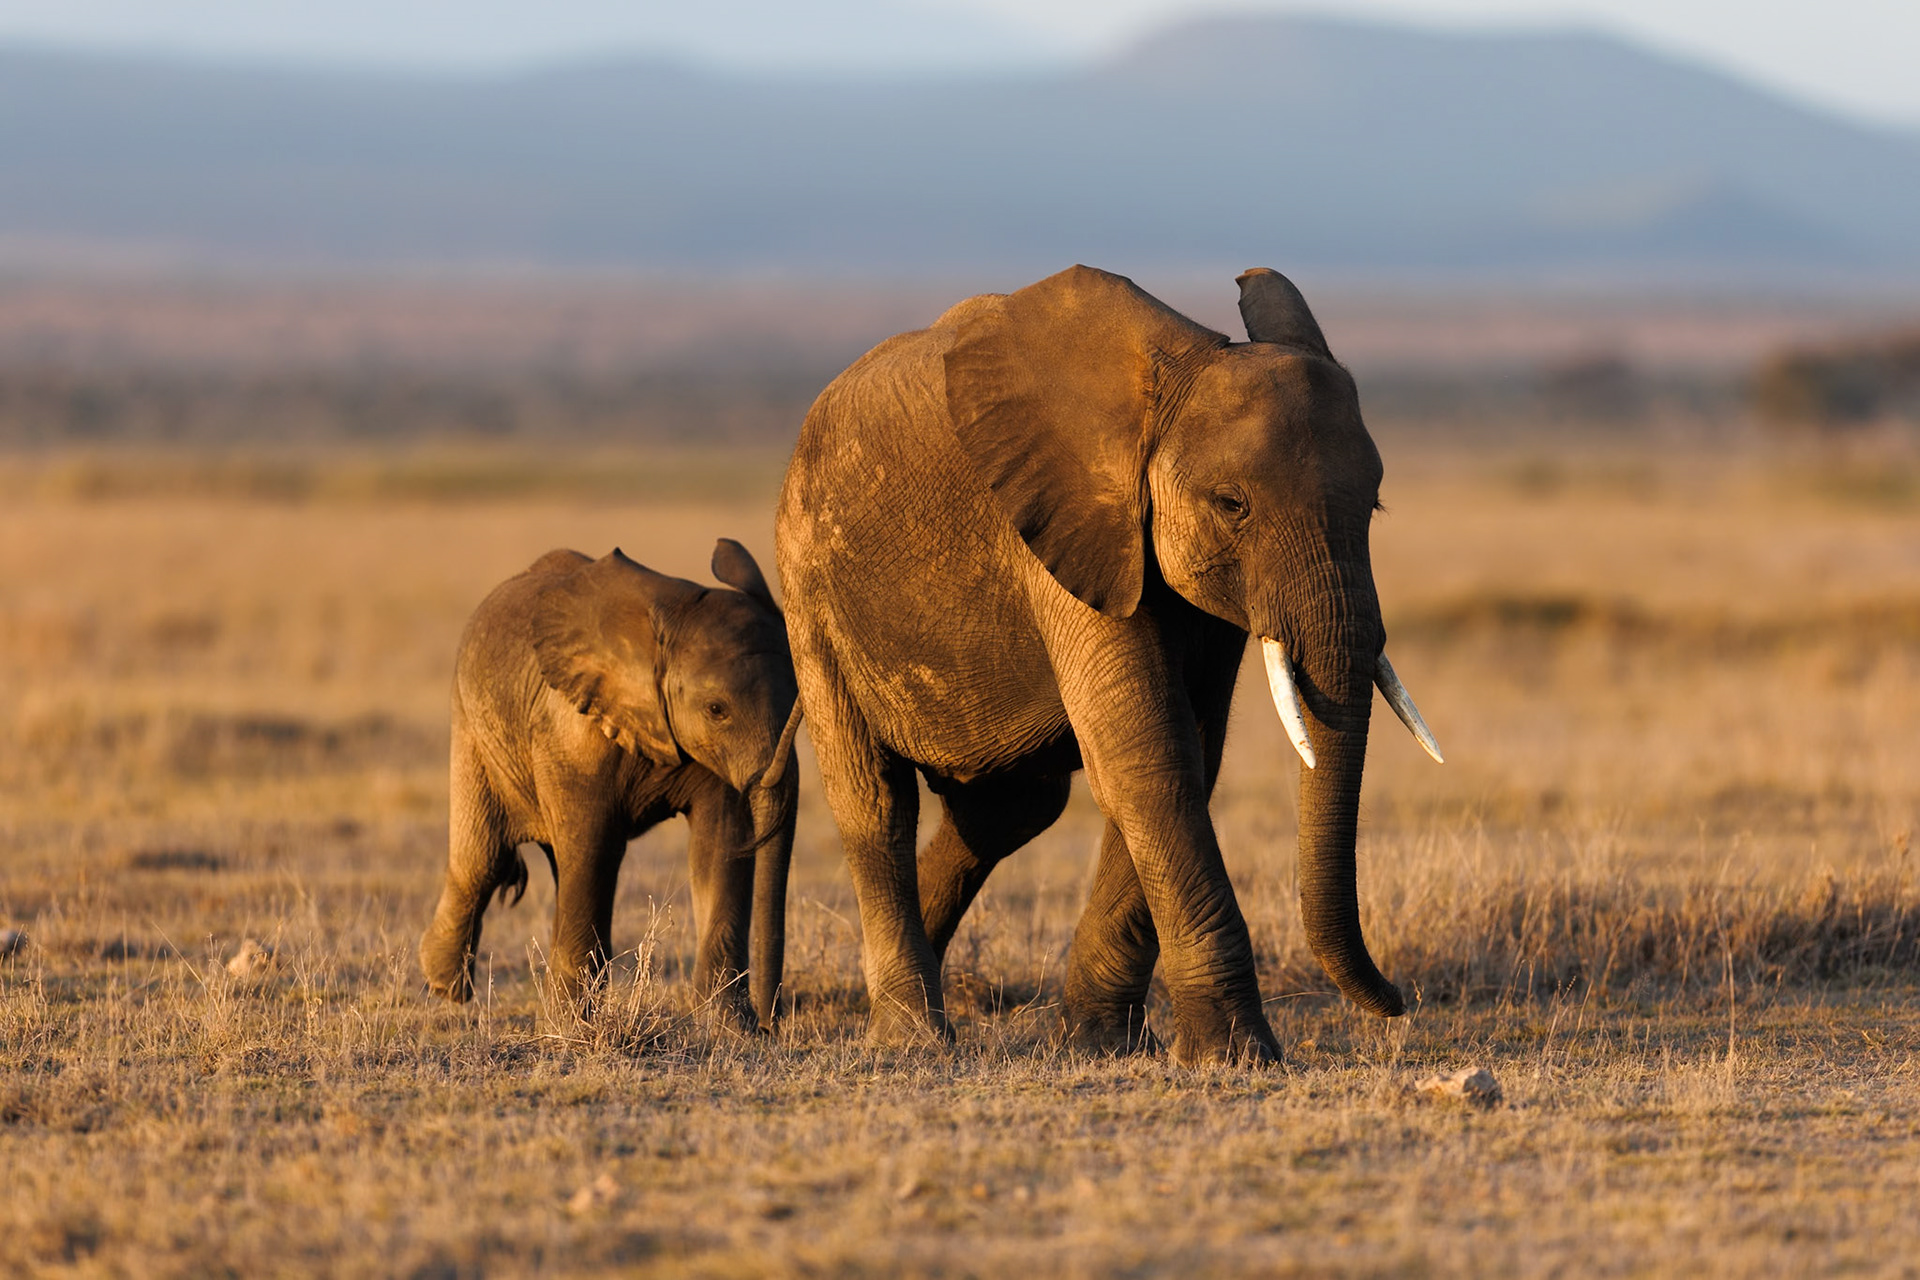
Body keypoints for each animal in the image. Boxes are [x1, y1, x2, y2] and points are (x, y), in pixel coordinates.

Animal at [419, 539, 803, 1030]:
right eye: (717, 710)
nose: (774, 1022)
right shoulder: (572, 726)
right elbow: (593, 848)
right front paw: (569, 1027)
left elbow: (719, 843)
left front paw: (732, 1030)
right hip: (471, 724)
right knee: (482, 861)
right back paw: (444, 988)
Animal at [774, 265, 1442, 1064]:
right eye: (1232, 504)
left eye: (1374, 506)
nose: (1399, 1001)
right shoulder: (1059, 531)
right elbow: (1150, 757)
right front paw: (1237, 1054)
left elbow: (1184, 752)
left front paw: (1102, 1043)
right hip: (809, 591)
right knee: (876, 804)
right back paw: (913, 1038)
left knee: (1008, 811)